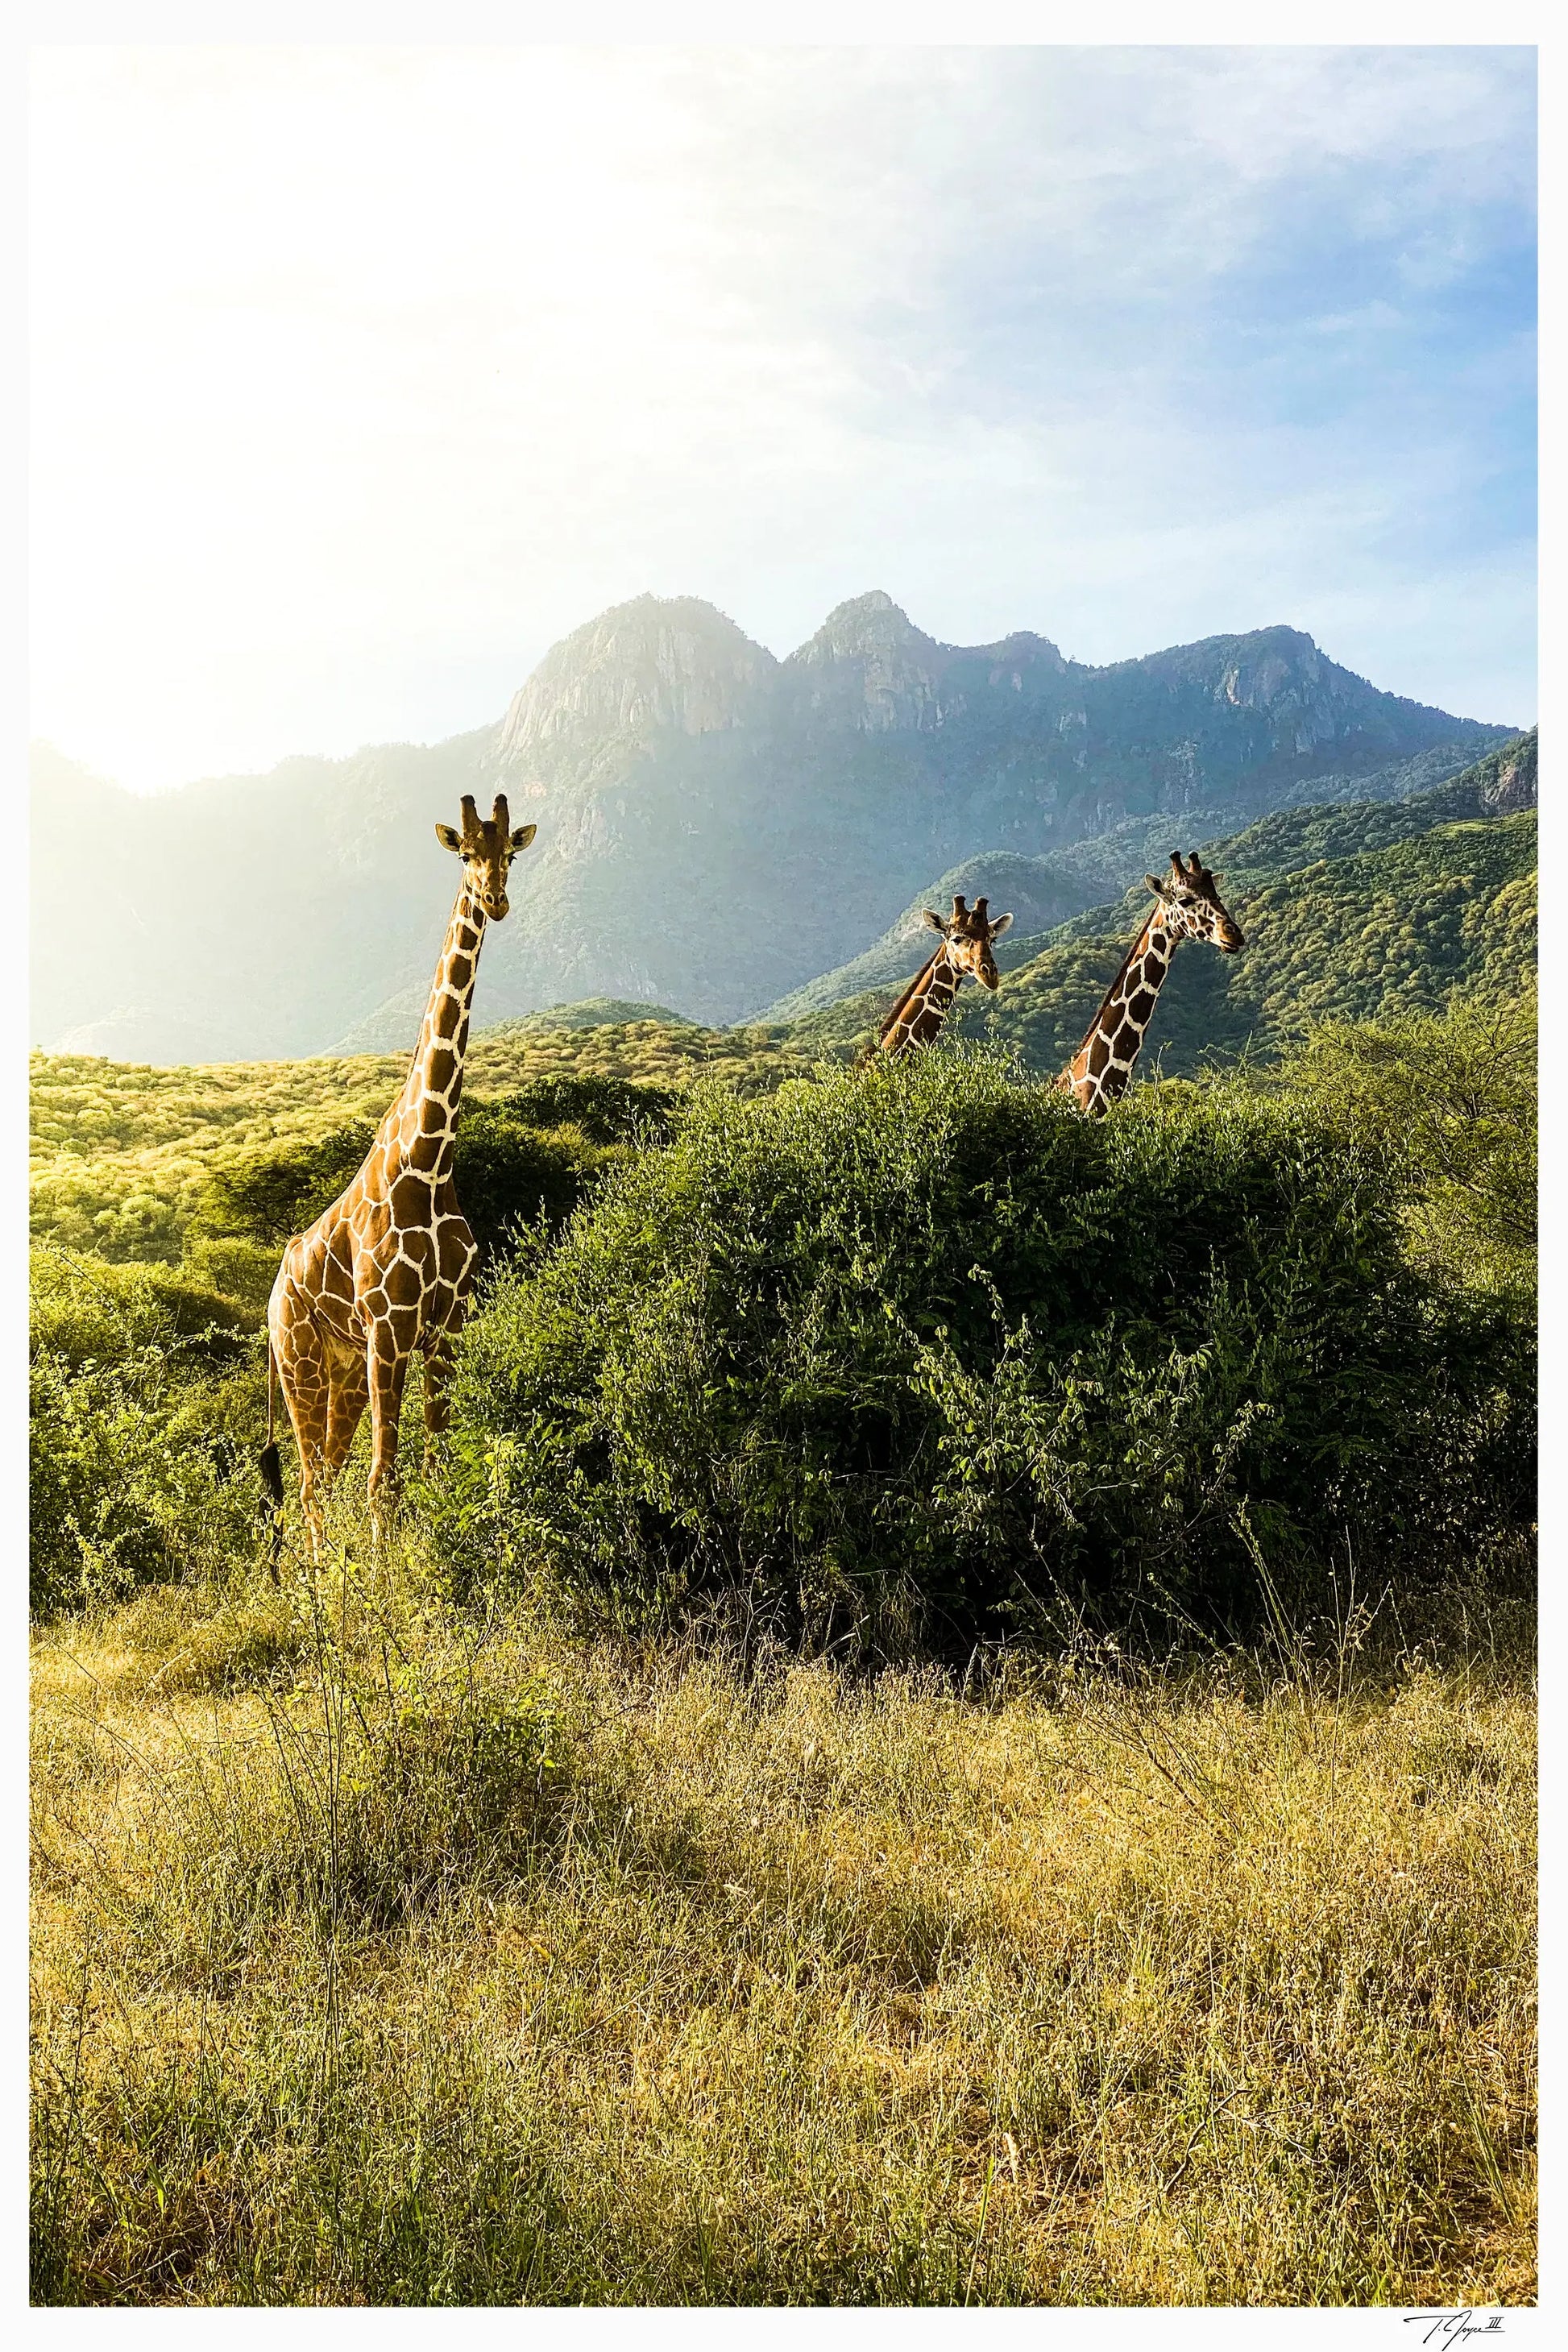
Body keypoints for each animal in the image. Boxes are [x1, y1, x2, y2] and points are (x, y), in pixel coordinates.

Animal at [260, 794, 536, 1555]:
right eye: (465, 852)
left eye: (510, 850)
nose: (496, 900)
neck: (431, 1155)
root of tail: (270, 1297)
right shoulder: (390, 1329)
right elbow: (387, 1480)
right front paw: (394, 1583)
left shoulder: (448, 1327)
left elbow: (436, 1468)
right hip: (299, 1360)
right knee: (311, 1482)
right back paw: (323, 1584)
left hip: (344, 1370)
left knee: (326, 1472)